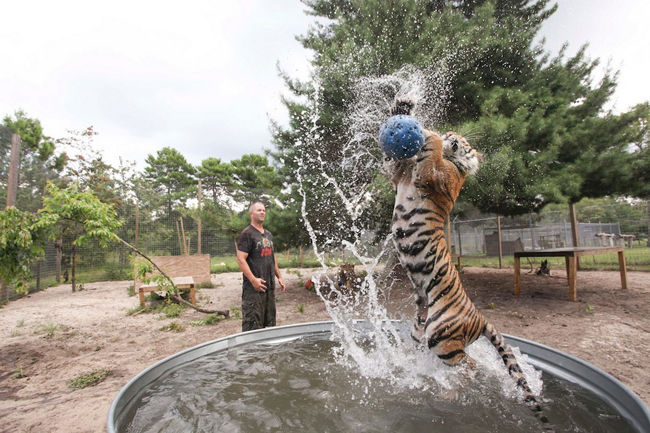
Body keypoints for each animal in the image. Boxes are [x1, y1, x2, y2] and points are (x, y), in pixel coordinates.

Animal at [380, 98, 552, 428]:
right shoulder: (398, 174)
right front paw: (403, 107)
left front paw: (432, 134)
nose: (452, 134)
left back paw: (448, 394)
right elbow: (391, 161)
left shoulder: (434, 176)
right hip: (421, 330)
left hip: (442, 336)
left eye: (464, 140)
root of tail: (480, 317)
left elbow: (432, 155)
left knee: (470, 366)